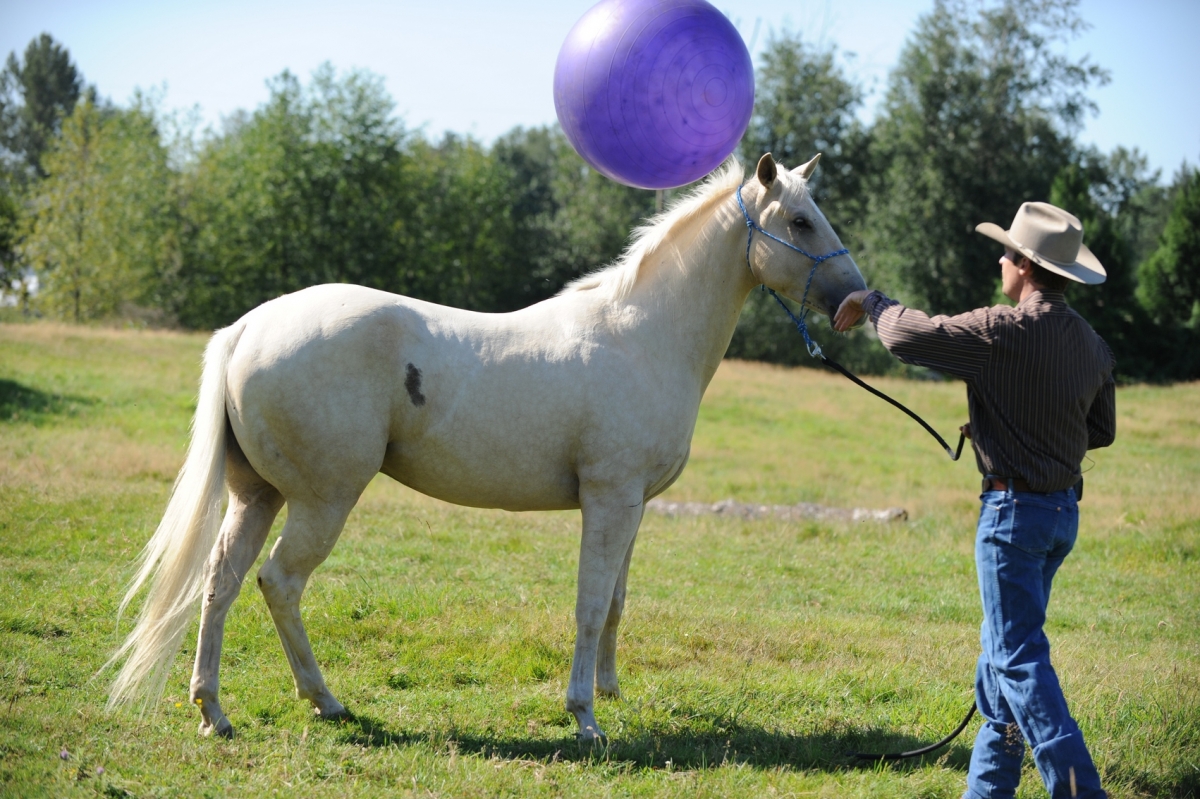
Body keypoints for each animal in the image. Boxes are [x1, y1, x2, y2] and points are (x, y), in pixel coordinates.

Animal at [106, 153, 867, 741]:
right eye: (801, 221)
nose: (857, 302)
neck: (641, 334)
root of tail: (245, 329)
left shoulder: (634, 507)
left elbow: (617, 602)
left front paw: (611, 691)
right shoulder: (609, 500)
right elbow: (591, 603)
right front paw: (585, 715)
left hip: (257, 495)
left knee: (221, 583)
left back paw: (214, 710)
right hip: (323, 500)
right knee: (279, 583)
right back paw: (325, 700)